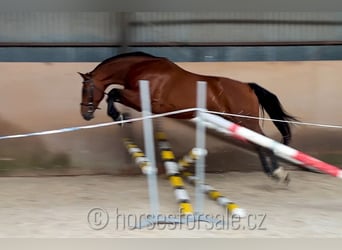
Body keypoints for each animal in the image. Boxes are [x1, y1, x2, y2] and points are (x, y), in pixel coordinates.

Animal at [79, 51, 296, 184]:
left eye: (86, 90)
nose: (85, 114)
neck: (141, 68)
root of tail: (247, 86)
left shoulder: (141, 99)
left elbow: (113, 93)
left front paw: (121, 117)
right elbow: (114, 94)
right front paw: (122, 117)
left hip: (246, 121)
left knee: (263, 141)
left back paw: (278, 173)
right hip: (239, 122)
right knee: (258, 142)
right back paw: (274, 172)